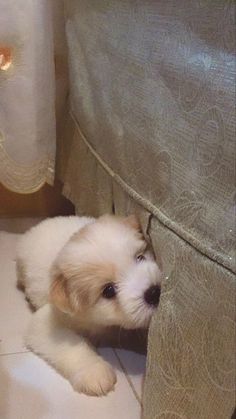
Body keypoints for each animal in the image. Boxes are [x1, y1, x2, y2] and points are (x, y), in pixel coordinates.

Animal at [16, 217, 160, 398]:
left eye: (140, 257)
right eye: (109, 290)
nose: (154, 292)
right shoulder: (46, 324)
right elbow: (73, 345)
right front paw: (95, 373)